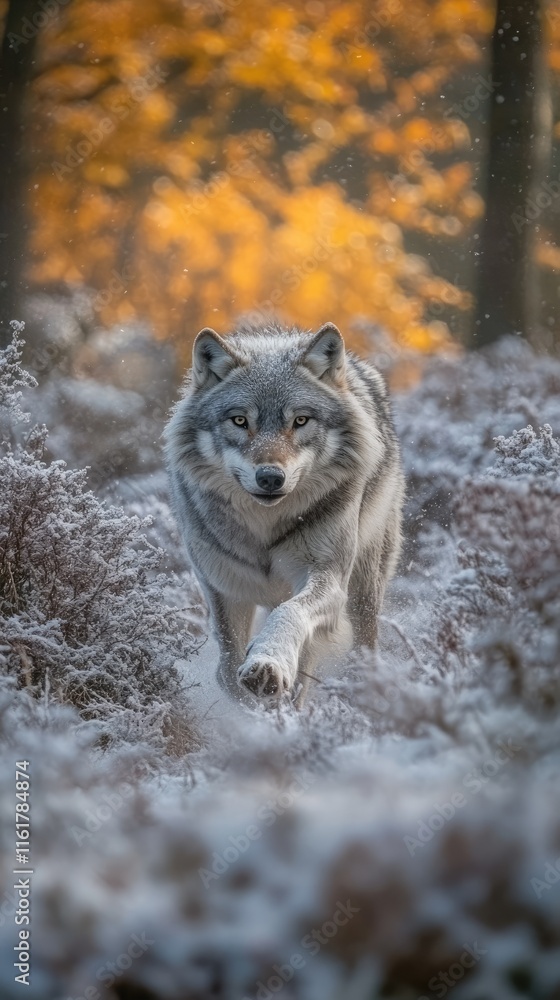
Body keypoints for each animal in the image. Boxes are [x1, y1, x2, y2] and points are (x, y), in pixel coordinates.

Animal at [165, 321, 404, 705]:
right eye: (240, 420)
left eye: (300, 420)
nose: (270, 477)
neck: (265, 528)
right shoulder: (222, 585)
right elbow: (227, 671)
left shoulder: (327, 578)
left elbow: (290, 612)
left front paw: (268, 663)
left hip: (364, 590)